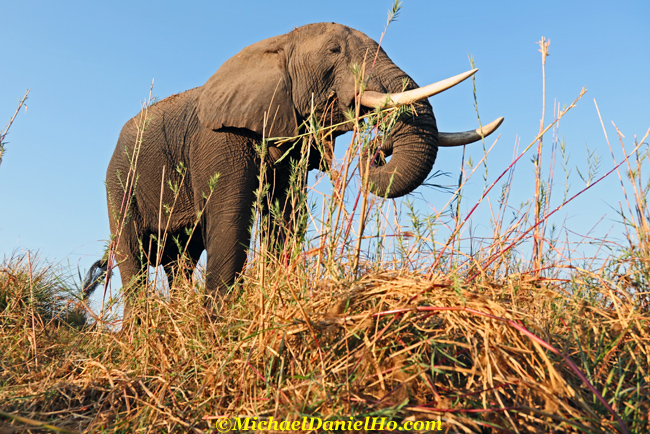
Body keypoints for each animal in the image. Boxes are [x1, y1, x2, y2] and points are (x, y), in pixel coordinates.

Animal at [82, 22, 502, 310]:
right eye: (334, 50)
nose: (378, 147)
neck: (276, 45)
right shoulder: (219, 140)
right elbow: (231, 220)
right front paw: (218, 323)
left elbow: (286, 218)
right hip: (118, 181)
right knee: (133, 255)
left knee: (180, 260)